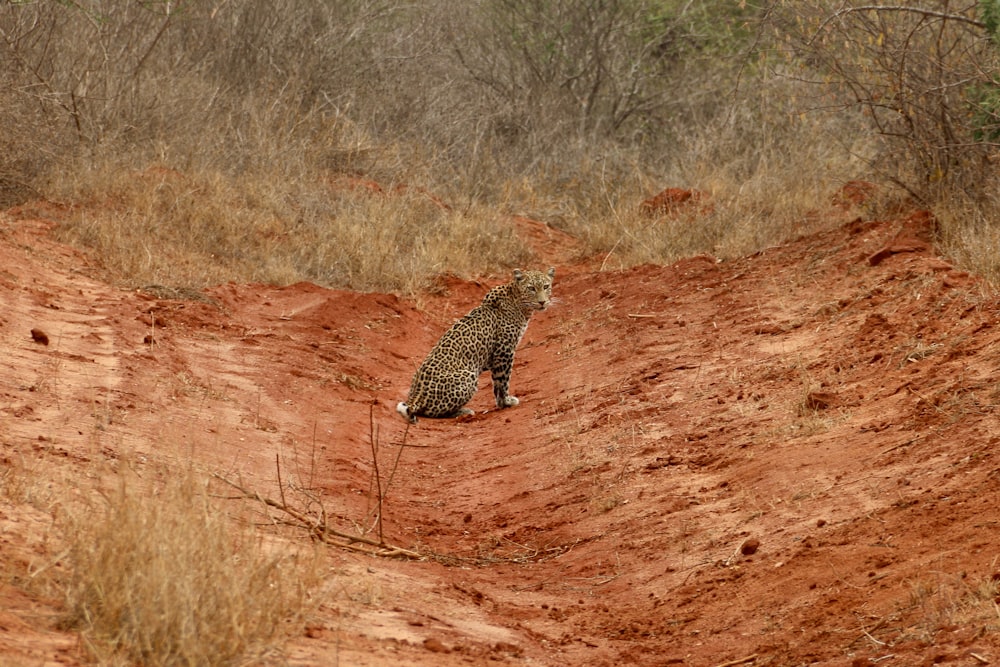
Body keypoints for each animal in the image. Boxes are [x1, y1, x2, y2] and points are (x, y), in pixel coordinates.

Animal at [396, 266, 556, 422]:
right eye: (531, 288)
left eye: (546, 286)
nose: (542, 302)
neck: (520, 304)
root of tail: (414, 398)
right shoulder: (504, 351)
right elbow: (503, 380)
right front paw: (506, 402)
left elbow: (497, 382)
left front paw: (502, 402)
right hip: (468, 375)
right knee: (432, 412)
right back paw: (464, 412)